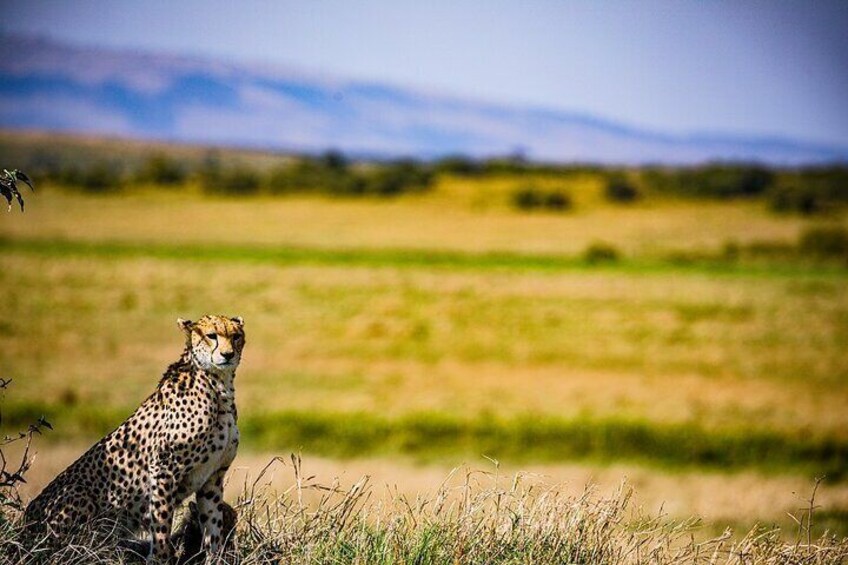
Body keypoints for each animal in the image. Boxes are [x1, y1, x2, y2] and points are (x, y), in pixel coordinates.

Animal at [23, 314, 245, 563]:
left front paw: (216, 558)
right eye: (211, 336)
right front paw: (159, 559)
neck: (219, 389)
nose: (228, 354)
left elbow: (213, 526)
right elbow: (161, 525)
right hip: (79, 494)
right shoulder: (163, 469)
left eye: (236, 336)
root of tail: (25, 522)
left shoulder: (213, 476)